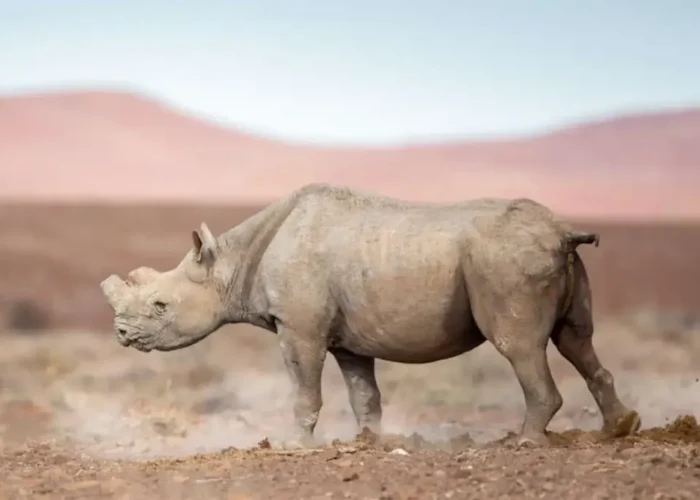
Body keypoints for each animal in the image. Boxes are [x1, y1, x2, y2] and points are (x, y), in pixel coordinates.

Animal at [100, 183, 640, 447]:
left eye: (160, 305)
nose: (122, 333)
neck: (232, 262)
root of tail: (563, 231)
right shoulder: (347, 340)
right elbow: (364, 394)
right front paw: (370, 441)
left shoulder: (299, 328)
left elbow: (304, 389)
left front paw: (295, 445)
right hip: (553, 261)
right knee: (577, 340)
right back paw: (619, 429)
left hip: (503, 260)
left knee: (519, 345)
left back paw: (524, 443)